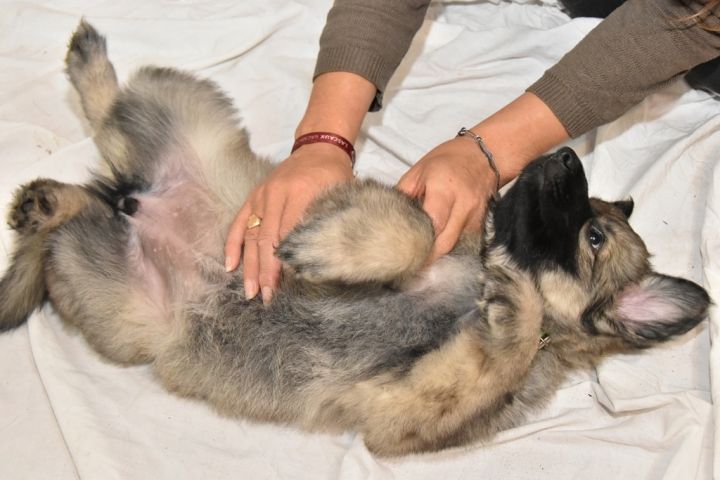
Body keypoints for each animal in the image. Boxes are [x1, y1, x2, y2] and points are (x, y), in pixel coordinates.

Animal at [0, 21, 710, 456]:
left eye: (594, 236)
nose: (563, 153)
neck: (475, 276)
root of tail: (132, 200)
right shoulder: (400, 209)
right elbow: (416, 230)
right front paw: (325, 250)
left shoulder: (402, 410)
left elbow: (501, 355)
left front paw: (517, 308)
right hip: (186, 121)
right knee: (112, 120)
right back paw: (88, 70)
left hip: (119, 302)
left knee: (77, 213)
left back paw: (45, 202)